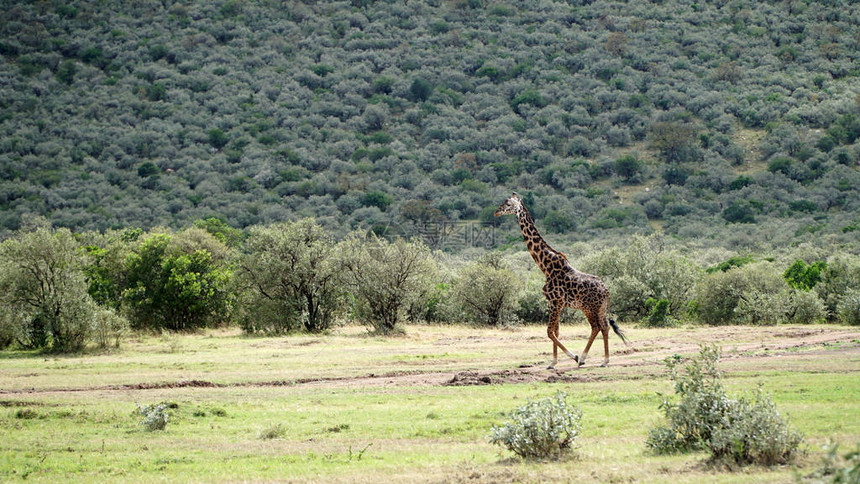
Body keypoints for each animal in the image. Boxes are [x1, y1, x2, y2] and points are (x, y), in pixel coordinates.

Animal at [494, 191, 628, 368]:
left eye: (508, 204)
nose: (496, 212)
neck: (545, 266)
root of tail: (606, 291)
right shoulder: (555, 303)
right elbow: (556, 331)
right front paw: (554, 362)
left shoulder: (555, 302)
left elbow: (549, 331)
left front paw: (571, 357)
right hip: (596, 308)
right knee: (601, 327)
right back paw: (596, 360)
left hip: (591, 308)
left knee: (599, 327)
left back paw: (593, 360)